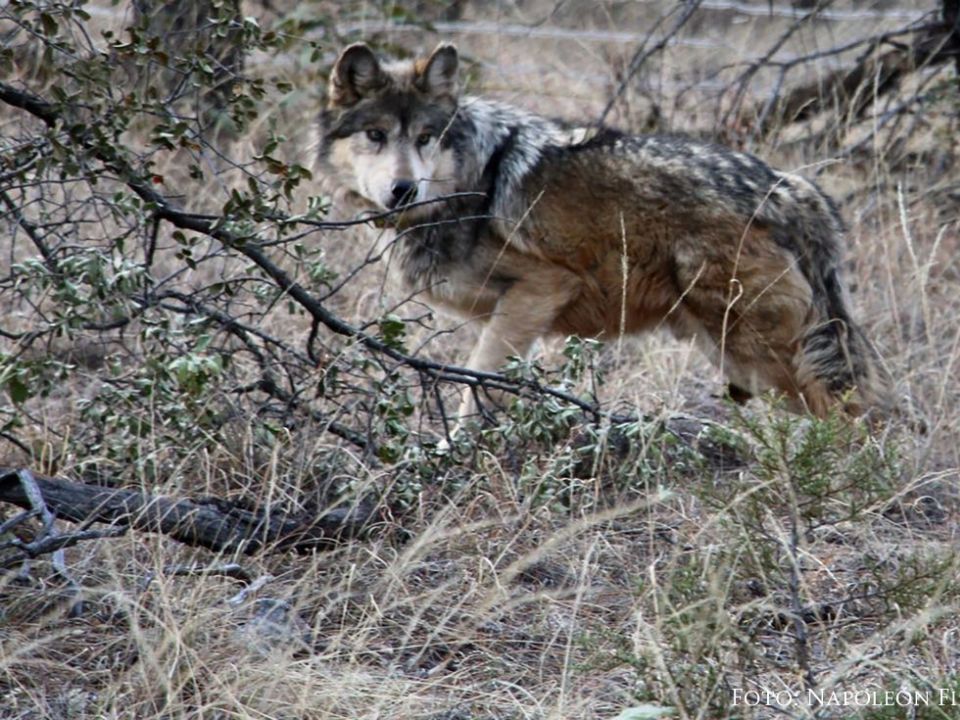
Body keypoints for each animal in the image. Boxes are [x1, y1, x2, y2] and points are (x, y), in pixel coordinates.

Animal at [318, 40, 896, 428]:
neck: (467, 186)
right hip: (740, 358)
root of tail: (794, 189)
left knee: (856, 414)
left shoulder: (540, 289)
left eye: (425, 138)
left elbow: (476, 389)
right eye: (376, 135)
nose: (403, 190)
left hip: (758, 351)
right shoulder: (517, 315)